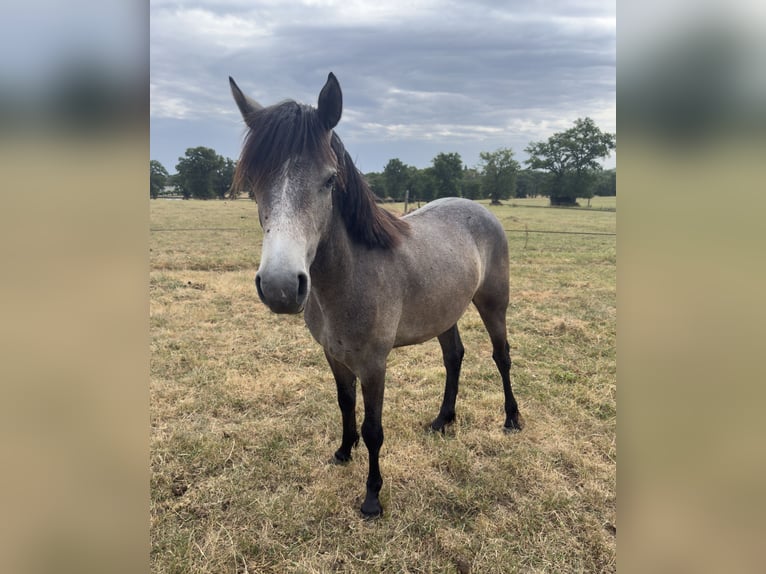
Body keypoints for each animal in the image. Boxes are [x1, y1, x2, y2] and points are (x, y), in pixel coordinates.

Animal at [229, 72, 522, 517]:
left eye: (330, 179)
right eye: (253, 182)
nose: (281, 287)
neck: (351, 276)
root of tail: (480, 209)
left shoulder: (373, 364)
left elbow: (373, 428)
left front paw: (372, 496)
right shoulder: (334, 356)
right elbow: (344, 405)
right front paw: (342, 452)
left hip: (493, 305)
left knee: (501, 357)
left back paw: (511, 420)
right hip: (446, 312)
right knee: (454, 357)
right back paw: (442, 420)